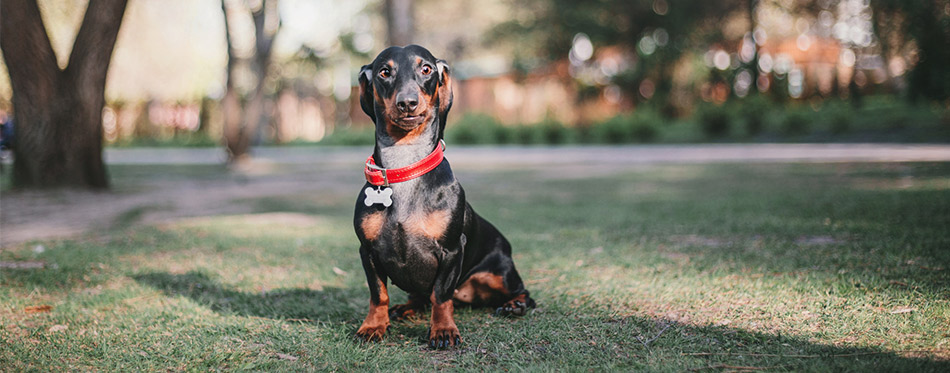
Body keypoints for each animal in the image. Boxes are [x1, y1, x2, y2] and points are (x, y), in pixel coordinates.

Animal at [356, 45, 536, 348]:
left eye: (426, 69)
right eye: (384, 71)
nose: (407, 103)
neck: (405, 167)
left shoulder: (452, 249)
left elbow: (440, 295)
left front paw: (443, 330)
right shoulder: (367, 251)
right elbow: (378, 294)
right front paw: (373, 326)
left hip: (500, 272)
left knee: (525, 293)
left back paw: (515, 305)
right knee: (419, 297)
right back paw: (406, 308)